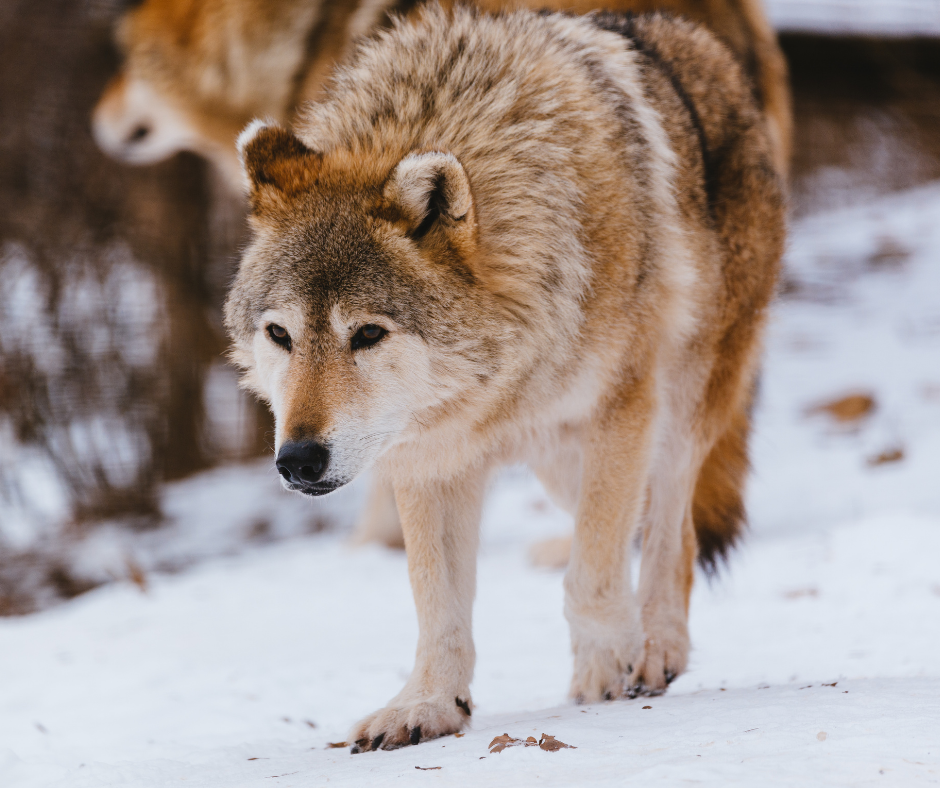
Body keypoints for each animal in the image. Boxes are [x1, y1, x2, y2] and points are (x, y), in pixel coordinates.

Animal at [225, 4, 785, 748]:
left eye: (367, 333)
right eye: (280, 335)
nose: (297, 461)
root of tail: (687, 36)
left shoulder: (620, 412)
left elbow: (592, 575)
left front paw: (606, 671)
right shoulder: (429, 455)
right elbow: (436, 602)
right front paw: (428, 705)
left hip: (678, 409)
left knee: (672, 525)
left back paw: (657, 647)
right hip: (562, 464)